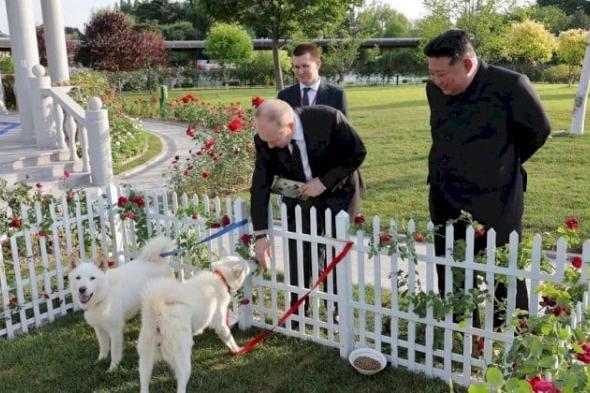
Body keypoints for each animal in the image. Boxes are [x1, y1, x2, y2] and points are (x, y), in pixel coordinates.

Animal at [69, 236, 175, 370]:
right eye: (78, 278)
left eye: (92, 278)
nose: (82, 289)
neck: (105, 294)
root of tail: (157, 260)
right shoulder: (99, 329)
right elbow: (103, 347)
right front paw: (100, 360)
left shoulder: (115, 330)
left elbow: (114, 351)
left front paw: (113, 368)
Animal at [139, 254, 260, 392]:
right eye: (246, 263)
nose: (255, 260)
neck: (220, 277)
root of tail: (158, 310)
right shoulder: (220, 323)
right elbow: (229, 337)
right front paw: (238, 350)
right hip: (183, 361)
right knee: (181, 385)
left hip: (145, 362)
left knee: (144, 385)